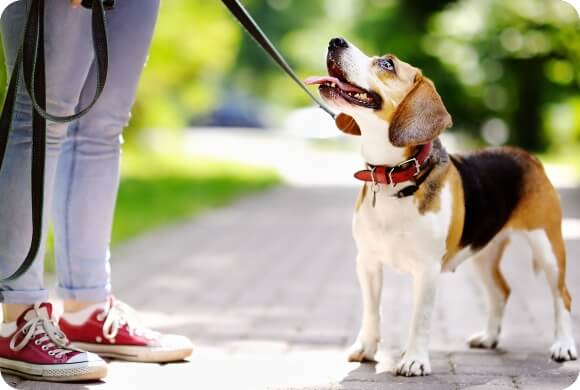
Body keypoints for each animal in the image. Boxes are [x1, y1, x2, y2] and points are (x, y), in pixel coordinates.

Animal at [306, 38, 576, 376]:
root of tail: (528, 156)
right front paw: (366, 348)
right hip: (484, 253)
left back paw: (563, 346)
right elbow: (371, 311)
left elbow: (419, 319)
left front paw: (414, 360)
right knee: (501, 292)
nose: (335, 41)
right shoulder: (367, 262)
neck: (394, 178)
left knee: (562, 296)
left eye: (387, 64)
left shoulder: (427, 269)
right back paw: (489, 337)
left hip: (548, 246)